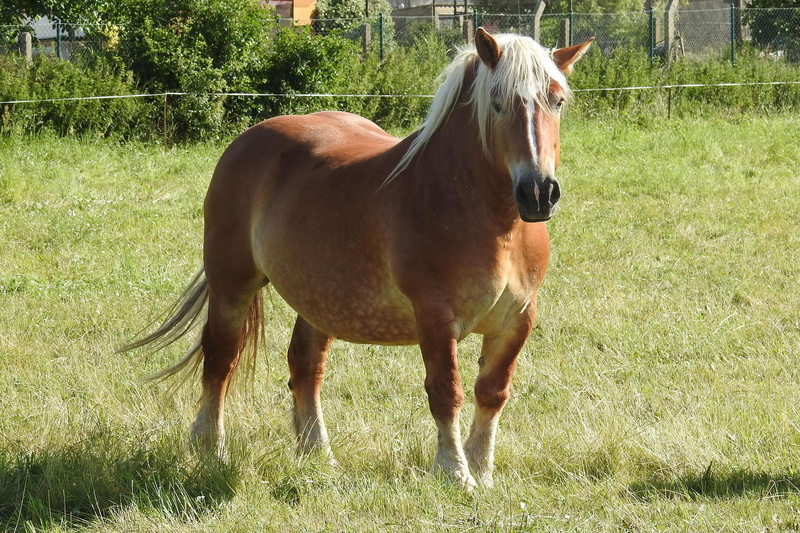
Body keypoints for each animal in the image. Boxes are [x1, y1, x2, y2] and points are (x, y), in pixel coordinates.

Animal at [120, 28, 593, 490]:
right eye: (497, 103)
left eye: (558, 100)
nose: (538, 192)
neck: (493, 222)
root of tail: (248, 140)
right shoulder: (436, 319)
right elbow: (447, 392)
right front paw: (454, 473)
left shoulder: (518, 318)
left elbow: (492, 392)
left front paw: (482, 471)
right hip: (232, 284)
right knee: (220, 360)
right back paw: (210, 449)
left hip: (319, 297)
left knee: (305, 366)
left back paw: (317, 456)